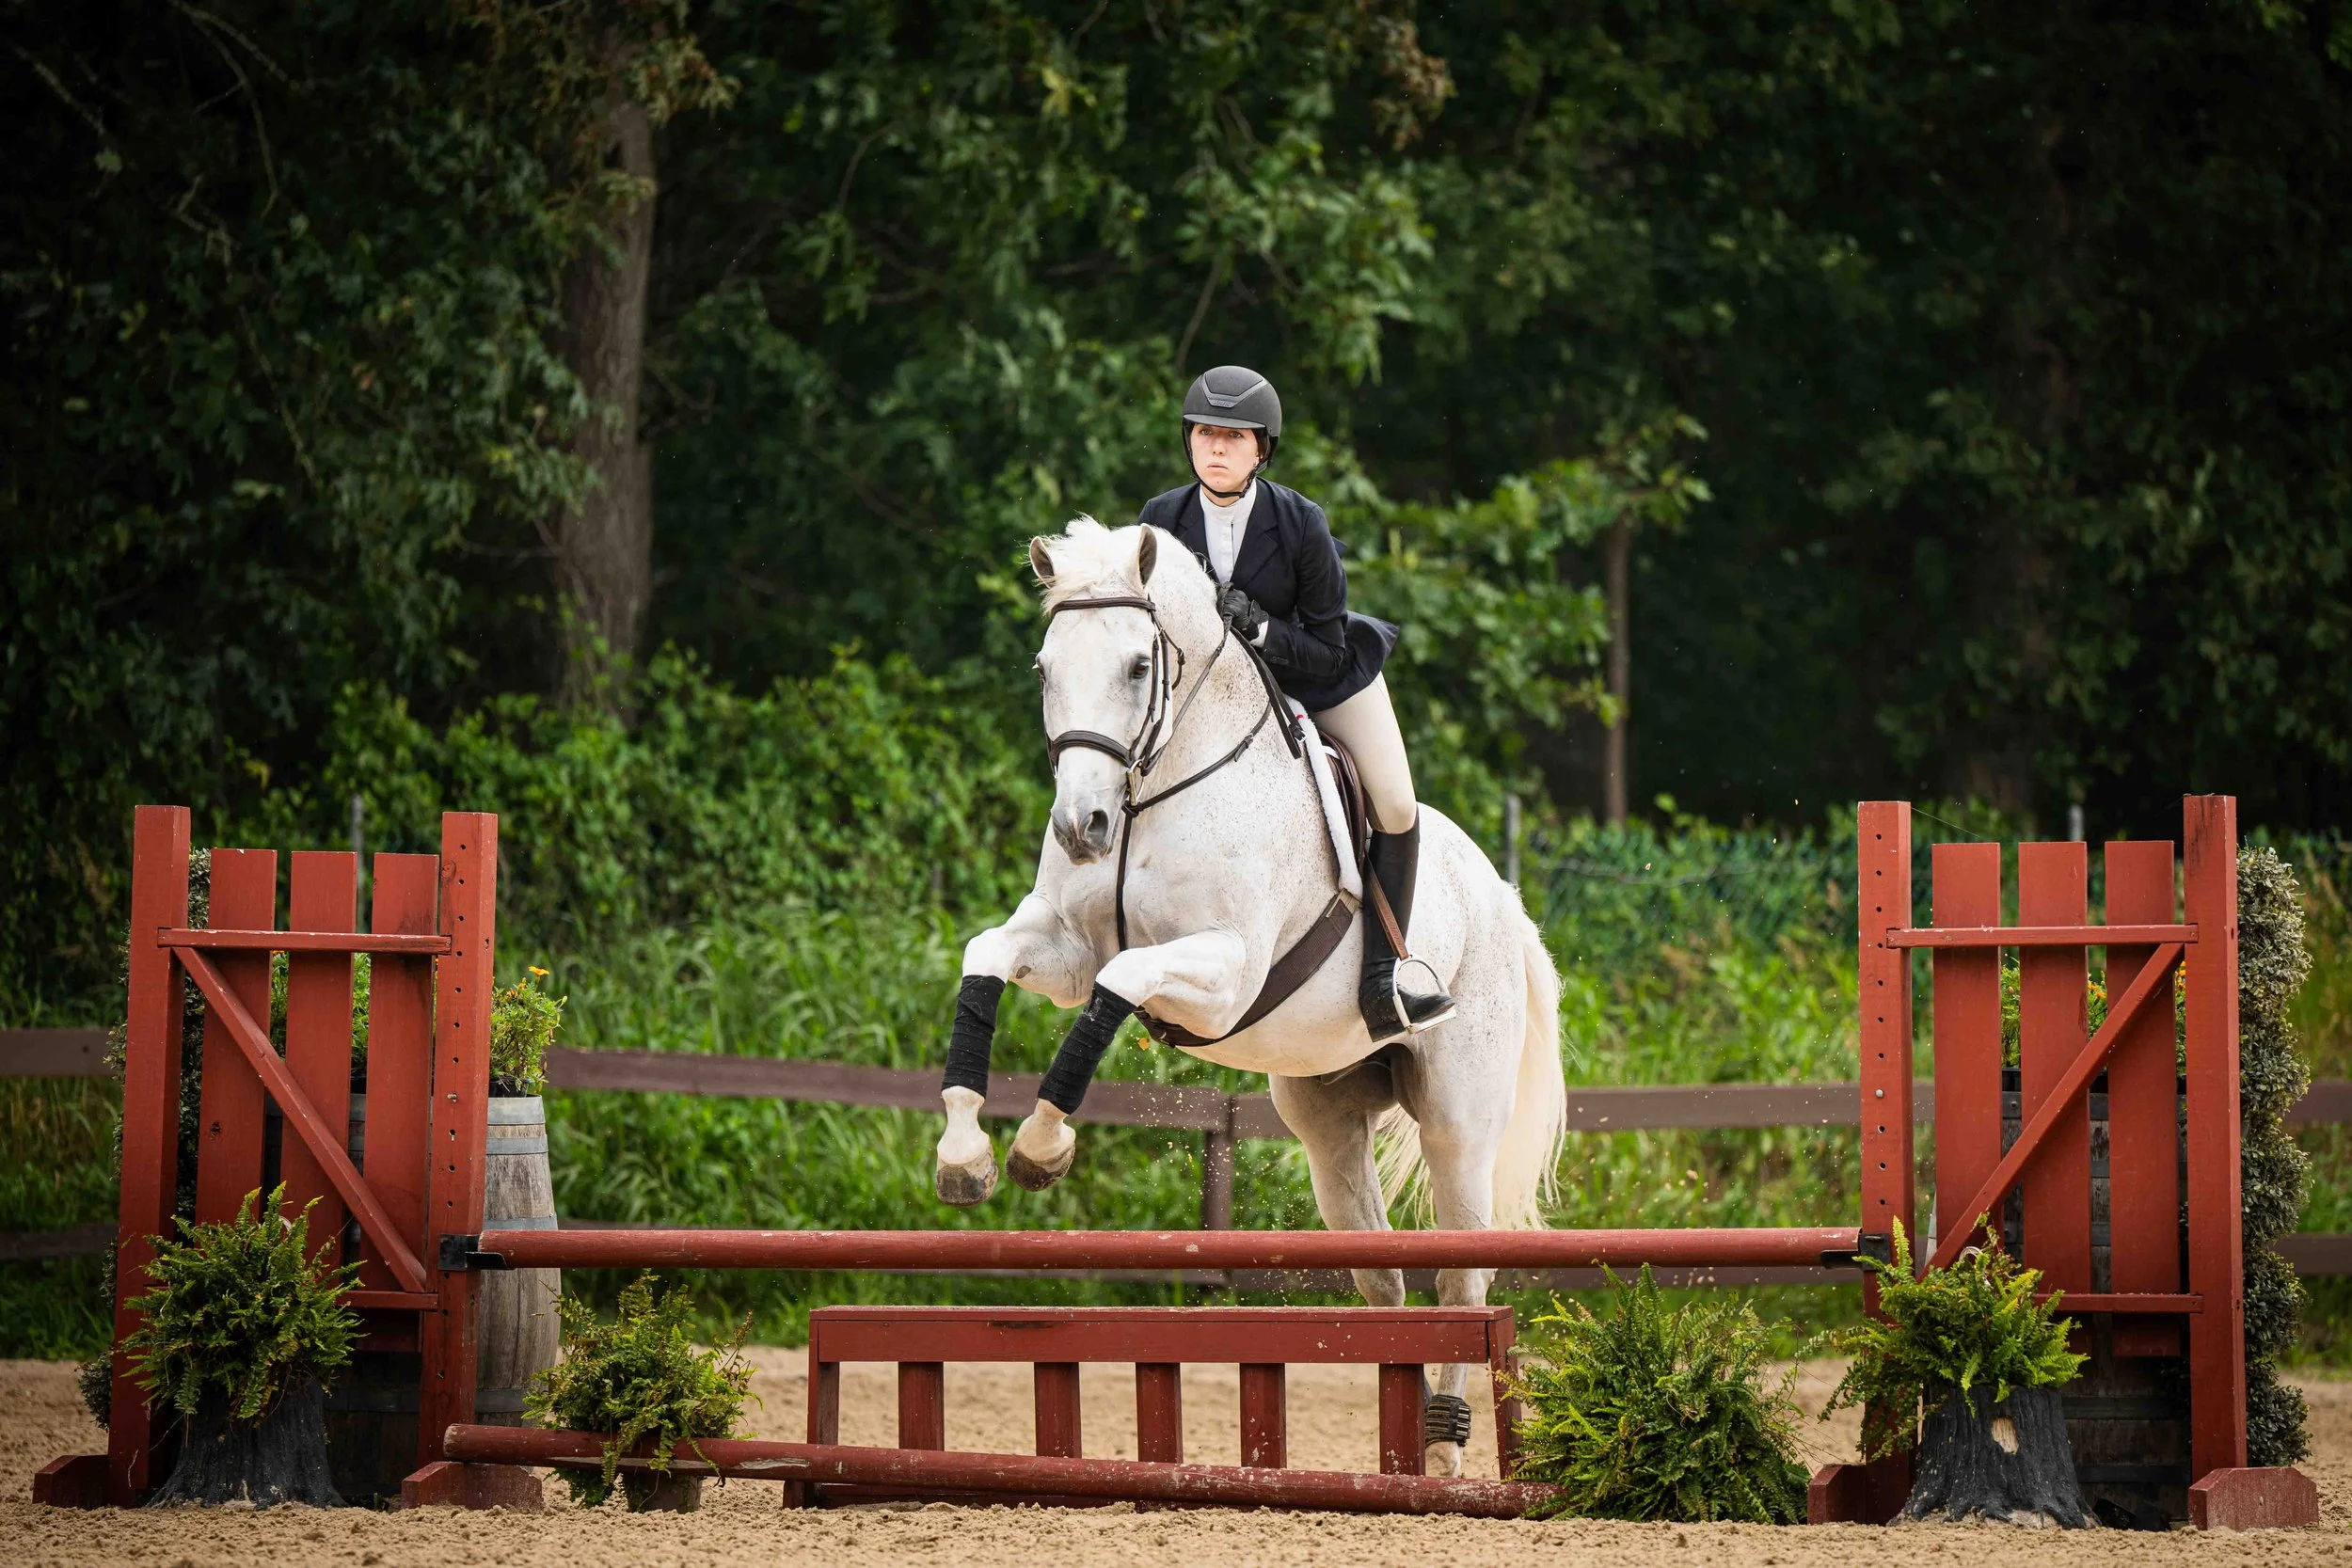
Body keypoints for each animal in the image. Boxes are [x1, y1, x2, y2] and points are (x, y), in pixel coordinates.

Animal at [934, 515, 1566, 1476]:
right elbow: (987, 958)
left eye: (1137, 666)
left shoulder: (1227, 976)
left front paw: (1042, 1145)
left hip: (1460, 1120)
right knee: (1384, 1275)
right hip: (1329, 1122)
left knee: (1463, 1276)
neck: (1153, 788)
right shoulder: (1065, 949)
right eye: (1044, 668)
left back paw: (1446, 1454)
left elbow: (1121, 982)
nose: (1082, 830)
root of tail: (1502, 896)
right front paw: (964, 1150)